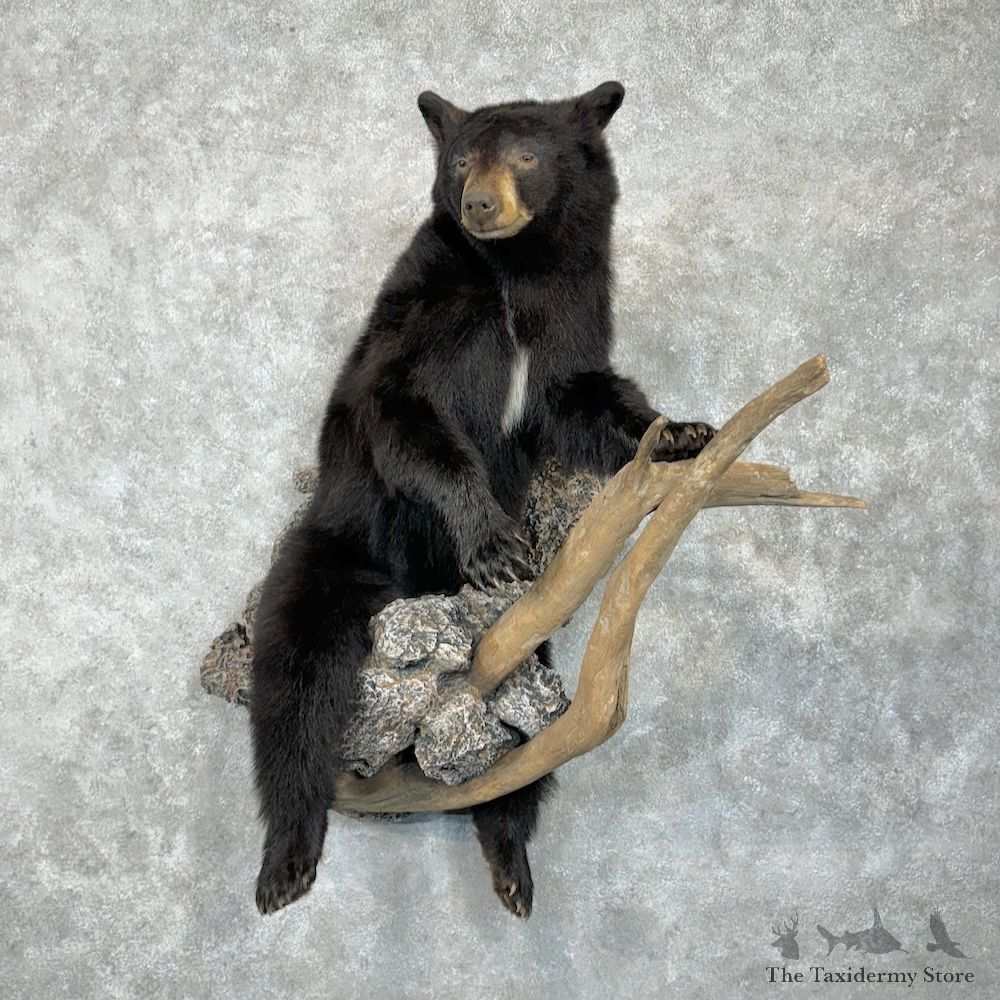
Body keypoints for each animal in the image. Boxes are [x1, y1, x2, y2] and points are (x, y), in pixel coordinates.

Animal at [250, 80, 715, 917]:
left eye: (526, 156)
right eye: (462, 159)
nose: (478, 204)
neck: (515, 272)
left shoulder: (573, 312)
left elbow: (583, 397)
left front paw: (681, 432)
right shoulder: (429, 313)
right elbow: (404, 412)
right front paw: (494, 541)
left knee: (526, 734)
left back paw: (510, 861)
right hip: (334, 549)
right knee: (294, 689)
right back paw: (288, 860)